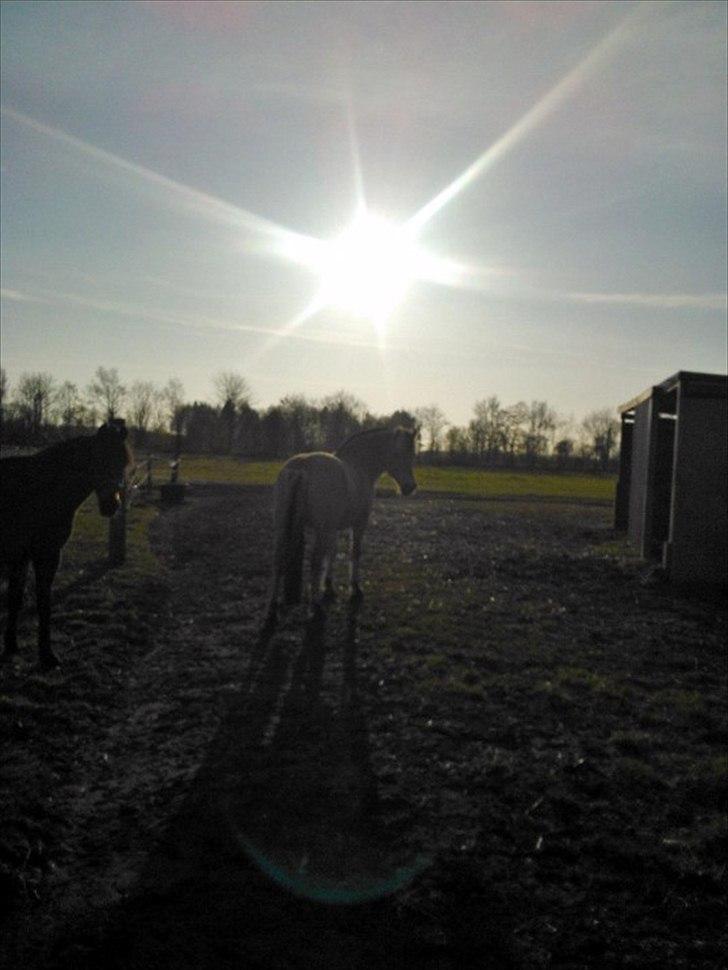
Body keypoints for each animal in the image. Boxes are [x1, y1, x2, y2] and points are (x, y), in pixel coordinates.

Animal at [0, 420, 131, 668]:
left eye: (124, 463)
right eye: (98, 459)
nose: (112, 505)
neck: (39, 492)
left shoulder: (21, 557)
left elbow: (15, 600)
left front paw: (12, 645)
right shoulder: (45, 554)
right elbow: (43, 603)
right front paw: (47, 656)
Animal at [266, 426, 416, 628]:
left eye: (412, 454)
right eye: (397, 453)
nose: (410, 487)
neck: (359, 467)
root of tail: (301, 467)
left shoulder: (332, 528)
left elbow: (333, 552)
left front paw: (329, 586)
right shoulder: (358, 524)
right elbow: (354, 552)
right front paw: (355, 589)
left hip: (283, 527)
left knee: (278, 561)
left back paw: (273, 606)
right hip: (319, 530)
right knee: (314, 563)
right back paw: (315, 607)